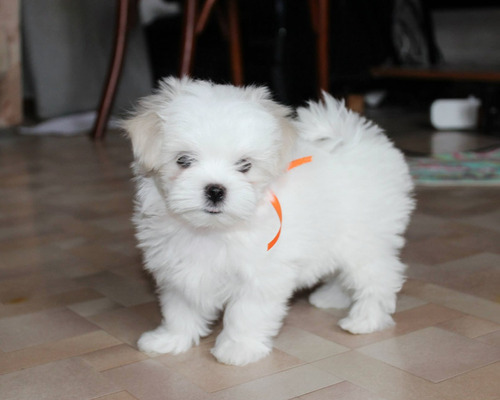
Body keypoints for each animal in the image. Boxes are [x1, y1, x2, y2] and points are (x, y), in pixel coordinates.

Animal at [125, 76, 414, 368]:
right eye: (183, 160)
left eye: (245, 165)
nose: (215, 190)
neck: (212, 230)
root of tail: (358, 139)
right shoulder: (180, 270)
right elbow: (180, 309)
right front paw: (170, 339)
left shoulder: (261, 275)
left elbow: (246, 313)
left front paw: (238, 348)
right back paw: (330, 297)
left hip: (364, 241)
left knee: (378, 277)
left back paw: (366, 319)